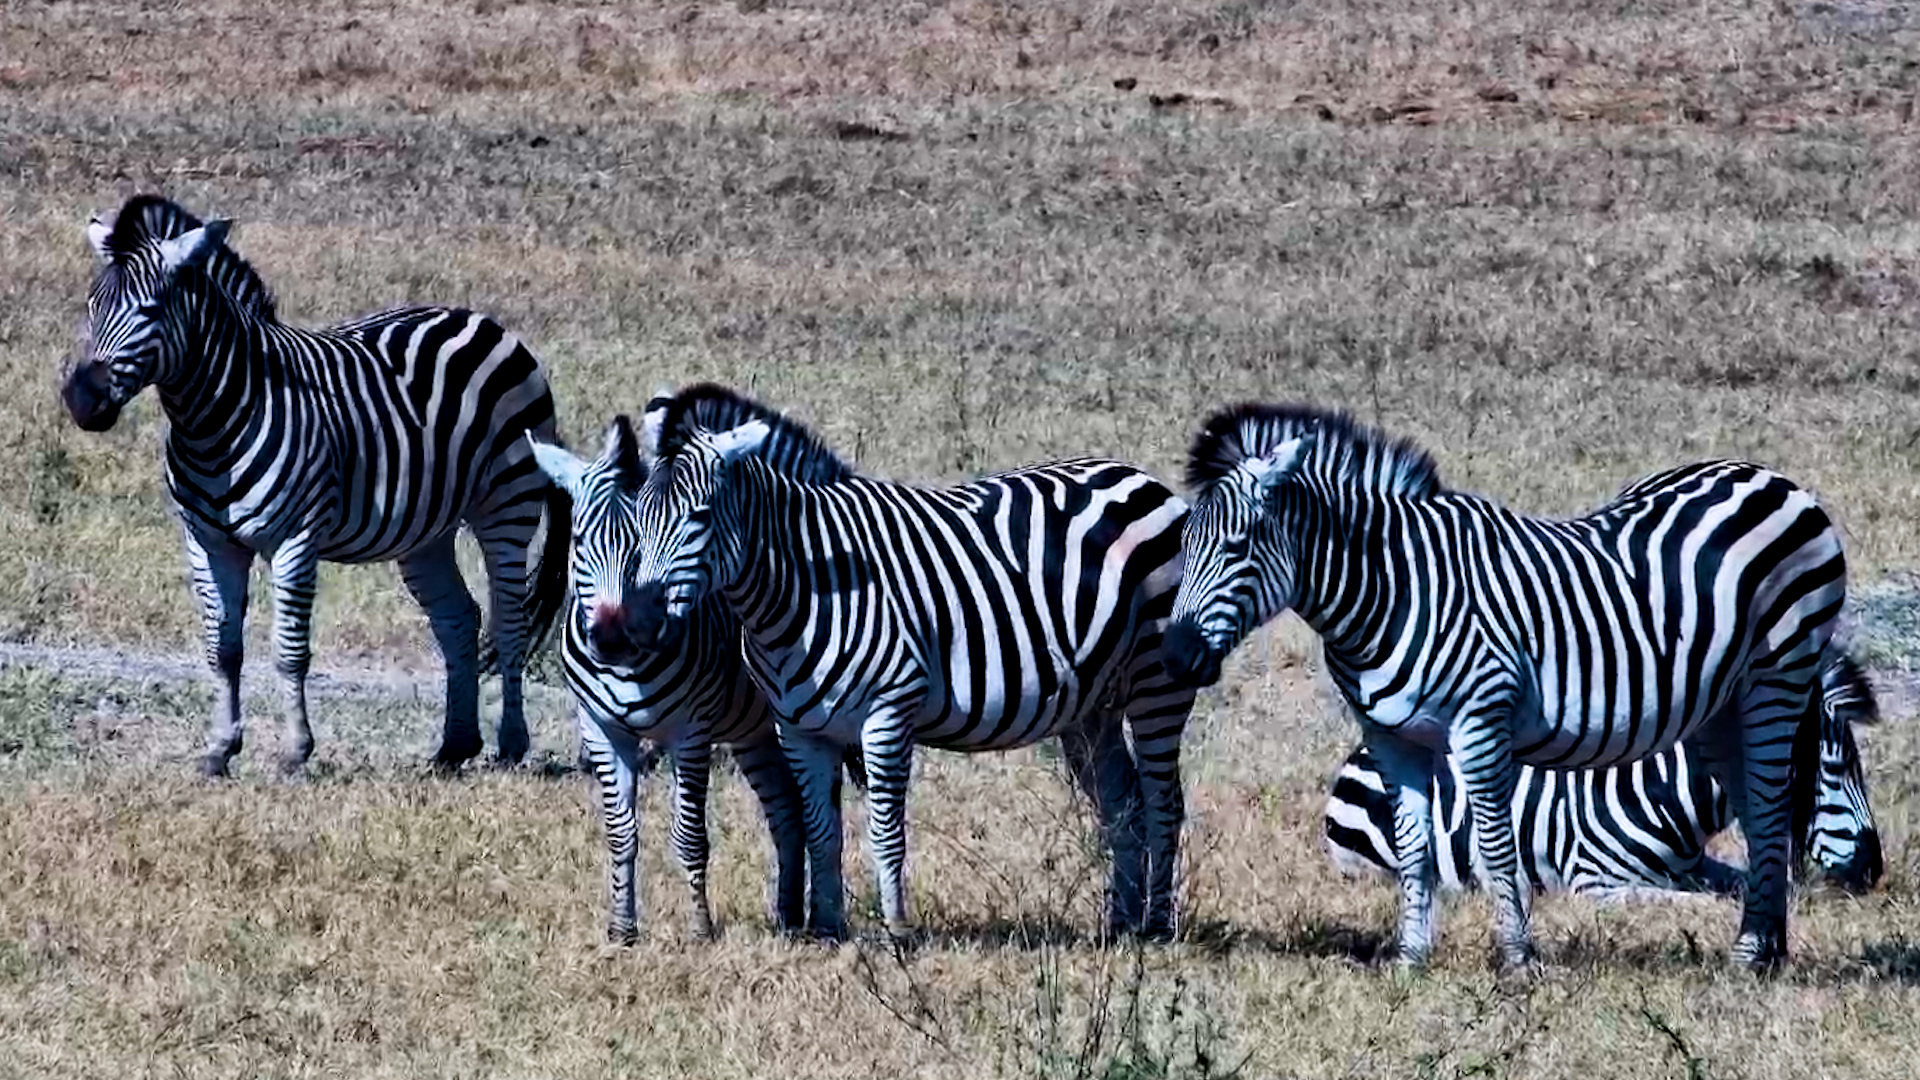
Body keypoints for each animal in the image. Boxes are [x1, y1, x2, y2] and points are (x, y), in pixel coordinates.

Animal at [59, 195, 567, 776]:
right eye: (92, 306)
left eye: (150, 311)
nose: (82, 401)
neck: (213, 421)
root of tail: (483, 320)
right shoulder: (206, 542)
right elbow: (223, 650)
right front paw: (220, 749)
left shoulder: (295, 540)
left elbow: (289, 651)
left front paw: (295, 752)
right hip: (427, 531)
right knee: (459, 619)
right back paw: (454, 747)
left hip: (508, 506)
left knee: (509, 622)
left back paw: (511, 745)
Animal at [526, 406, 859, 943]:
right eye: (578, 541)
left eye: (643, 546)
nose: (612, 639)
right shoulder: (601, 729)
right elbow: (620, 833)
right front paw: (622, 929)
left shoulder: (691, 732)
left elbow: (689, 835)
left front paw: (701, 927)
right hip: (753, 732)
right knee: (787, 812)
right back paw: (788, 915)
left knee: (814, 812)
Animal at [600, 384, 1196, 942]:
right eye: (637, 518)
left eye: (699, 518)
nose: (636, 626)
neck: (804, 587)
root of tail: (1137, 476)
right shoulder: (799, 728)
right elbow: (823, 830)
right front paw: (828, 928)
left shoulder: (887, 714)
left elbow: (886, 833)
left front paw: (897, 933)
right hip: (1092, 707)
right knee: (1122, 803)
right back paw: (1120, 923)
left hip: (1158, 682)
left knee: (1163, 801)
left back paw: (1157, 926)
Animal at [1322, 650, 1883, 899]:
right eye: (1835, 769)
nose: (1873, 869)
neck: (1663, 798)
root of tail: (1356, 758)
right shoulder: (1594, 882)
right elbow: (1687, 898)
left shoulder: (1697, 864)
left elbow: (1737, 881)